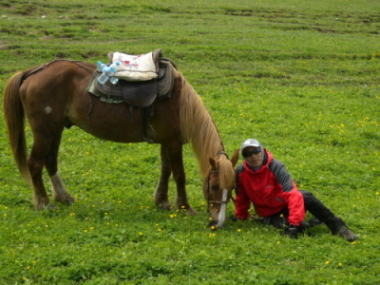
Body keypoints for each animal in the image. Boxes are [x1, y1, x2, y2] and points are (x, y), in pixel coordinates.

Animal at [3, 58, 238, 227]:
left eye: (233, 188)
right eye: (214, 186)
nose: (218, 222)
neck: (180, 102)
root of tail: (32, 72)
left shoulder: (166, 141)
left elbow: (165, 170)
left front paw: (162, 201)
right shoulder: (173, 142)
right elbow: (179, 175)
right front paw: (185, 207)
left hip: (56, 128)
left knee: (50, 161)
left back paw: (63, 197)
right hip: (44, 130)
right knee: (35, 163)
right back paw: (43, 203)